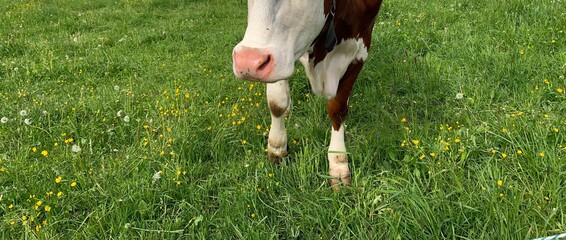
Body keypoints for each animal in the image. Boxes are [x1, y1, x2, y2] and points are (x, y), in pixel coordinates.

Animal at [233, 0, 384, 187]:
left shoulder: (360, 48)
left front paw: (338, 163)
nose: (247, 62)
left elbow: (337, 109)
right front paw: (277, 148)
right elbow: (277, 103)